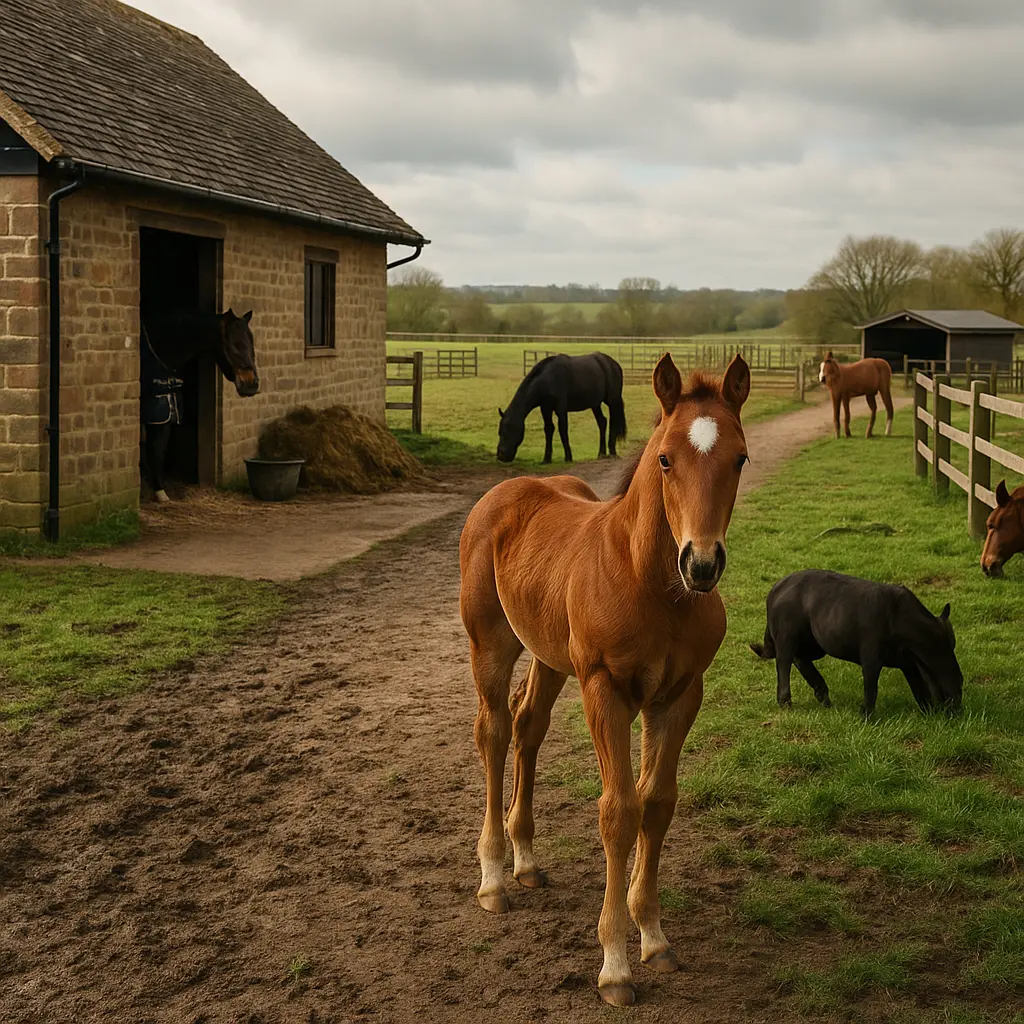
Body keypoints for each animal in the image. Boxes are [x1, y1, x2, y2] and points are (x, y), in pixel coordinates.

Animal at [140, 309, 260, 503]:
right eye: (235, 345)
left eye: (251, 343)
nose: (251, 384)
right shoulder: (156, 411)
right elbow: (153, 447)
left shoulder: (167, 410)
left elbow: (159, 447)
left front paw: (160, 491)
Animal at [496, 352, 626, 463]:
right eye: (500, 431)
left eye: (508, 430)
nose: (501, 455)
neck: (547, 379)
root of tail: (613, 364)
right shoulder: (546, 408)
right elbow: (548, 429)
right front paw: (546, 459)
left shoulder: (561, 409)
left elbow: (563, 430)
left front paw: (568, 457)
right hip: (595, 404)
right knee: (602, 422)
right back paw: (601, 453)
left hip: (613, 401)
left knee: (613, 421)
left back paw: (612, 451)